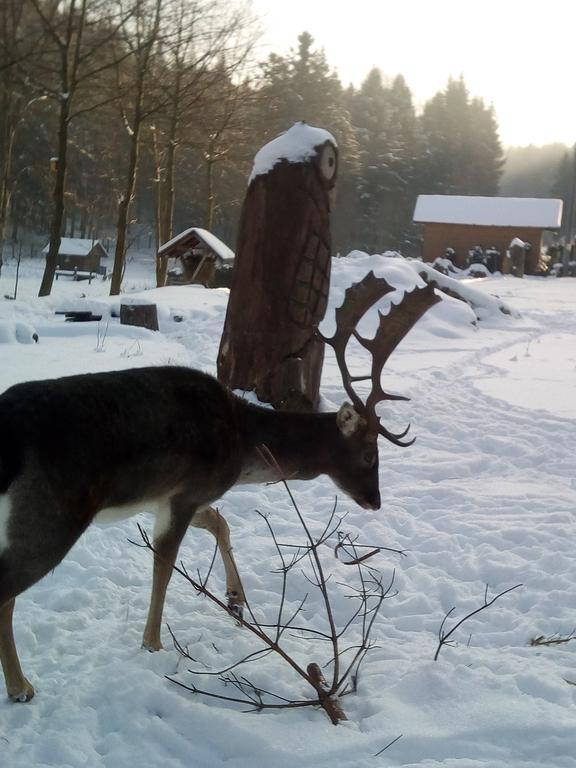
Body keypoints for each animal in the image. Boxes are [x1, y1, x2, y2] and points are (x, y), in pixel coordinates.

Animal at [0, 272, 438, 700]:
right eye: (369, 455)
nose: (374, 500)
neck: (241, 444)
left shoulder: (170, 497)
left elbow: (219, 522)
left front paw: (236, 599)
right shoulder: (189, 491)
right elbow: (165, 565)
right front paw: (154, 644)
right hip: (50, 515)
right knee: (6, 588)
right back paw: (21, 687)